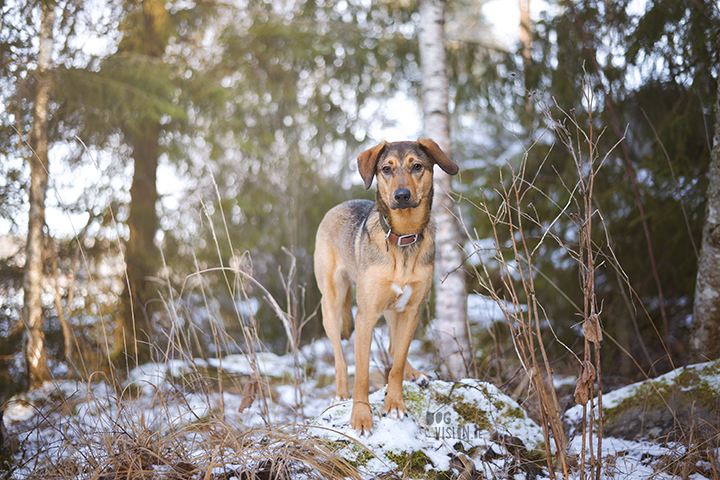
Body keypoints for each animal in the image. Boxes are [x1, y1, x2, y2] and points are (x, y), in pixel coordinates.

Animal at [312, 139, 458, 436]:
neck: (402, 235)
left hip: (394, 307)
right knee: (340, 358)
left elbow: (398, 361)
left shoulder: (412, 310)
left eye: (417, 166)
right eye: (386, 169)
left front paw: (395, 403)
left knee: (392, 347)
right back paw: (341, 394)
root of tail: (338, 206)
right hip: (332, 304)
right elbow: (362, 373)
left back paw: (415, 374)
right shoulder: (366, 315)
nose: (402, 196)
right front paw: (361, 417)